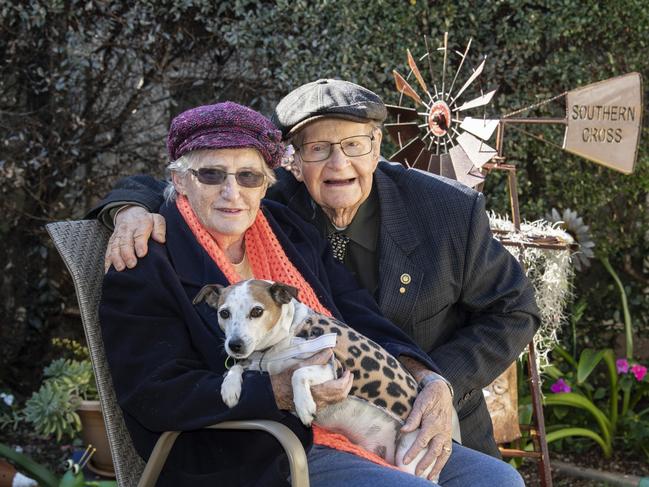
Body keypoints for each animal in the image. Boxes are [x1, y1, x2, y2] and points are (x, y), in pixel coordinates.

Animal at [194, 280, 436, 478]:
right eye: (224, 313)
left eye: (257, 311)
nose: (234, 345)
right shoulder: (257, 365)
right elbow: (236, 368)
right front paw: (230, 388)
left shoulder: (332, 369)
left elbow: (298, 373)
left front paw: (304, 406)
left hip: (409, 455)